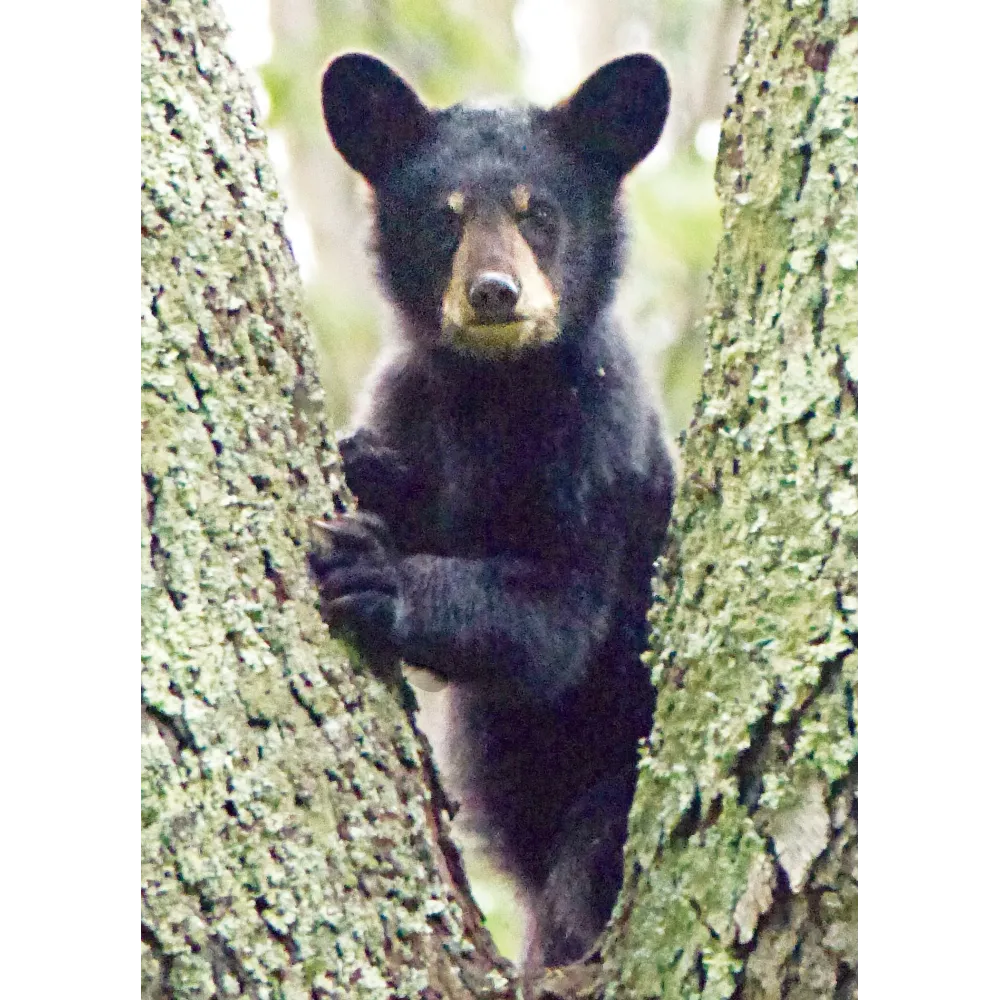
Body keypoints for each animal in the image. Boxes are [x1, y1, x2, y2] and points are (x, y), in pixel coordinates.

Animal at [310, 51, 675, 969]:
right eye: (443, 221)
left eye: (537, 213)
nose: (494, 293)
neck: (495, 388)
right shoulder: (413, 398)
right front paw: (368, 466)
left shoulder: (597, 441)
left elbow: (558, 614)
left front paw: (376, 570)